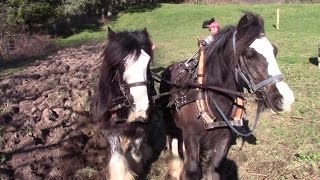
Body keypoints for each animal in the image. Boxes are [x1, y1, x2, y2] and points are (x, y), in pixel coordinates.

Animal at [92, 27, 157, 179]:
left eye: (148, 62)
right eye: (120, 64)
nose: (141, 108)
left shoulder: (143, 124)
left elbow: (136, 151)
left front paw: (137, 166)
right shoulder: (108, 127)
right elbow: (117, 155)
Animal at [160, 12, 296, 179]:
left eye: (275, 51)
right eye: (249, 55)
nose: (286, 98)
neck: (212, 100)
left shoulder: (224, 139)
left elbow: (214, 170)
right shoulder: (191, 138)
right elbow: (192, 170)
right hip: (171, 125)